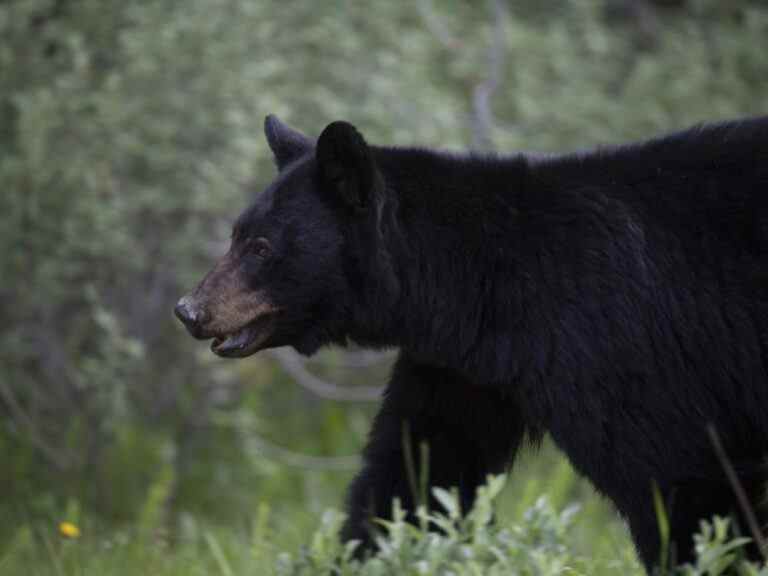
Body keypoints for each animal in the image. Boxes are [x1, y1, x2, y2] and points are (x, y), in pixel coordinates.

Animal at [177, 115, 768, 568]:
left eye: (260, 246)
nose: (189, 310)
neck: (480, 286)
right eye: (236, 234)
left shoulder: (618, 342)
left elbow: (682, 482)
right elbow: (418, 474)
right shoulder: (463, 367)